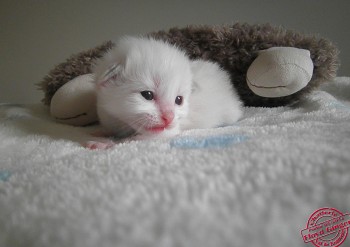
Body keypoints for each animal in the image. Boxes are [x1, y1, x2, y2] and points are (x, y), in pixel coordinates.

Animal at [86, 36, 242, 149]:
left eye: (178, 100)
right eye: (148, 95)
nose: (169, 117)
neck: (123, 121)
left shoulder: (167, 131)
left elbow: (129, 140)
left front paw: (104, 143)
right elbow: (109, 128)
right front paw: (100, 132)